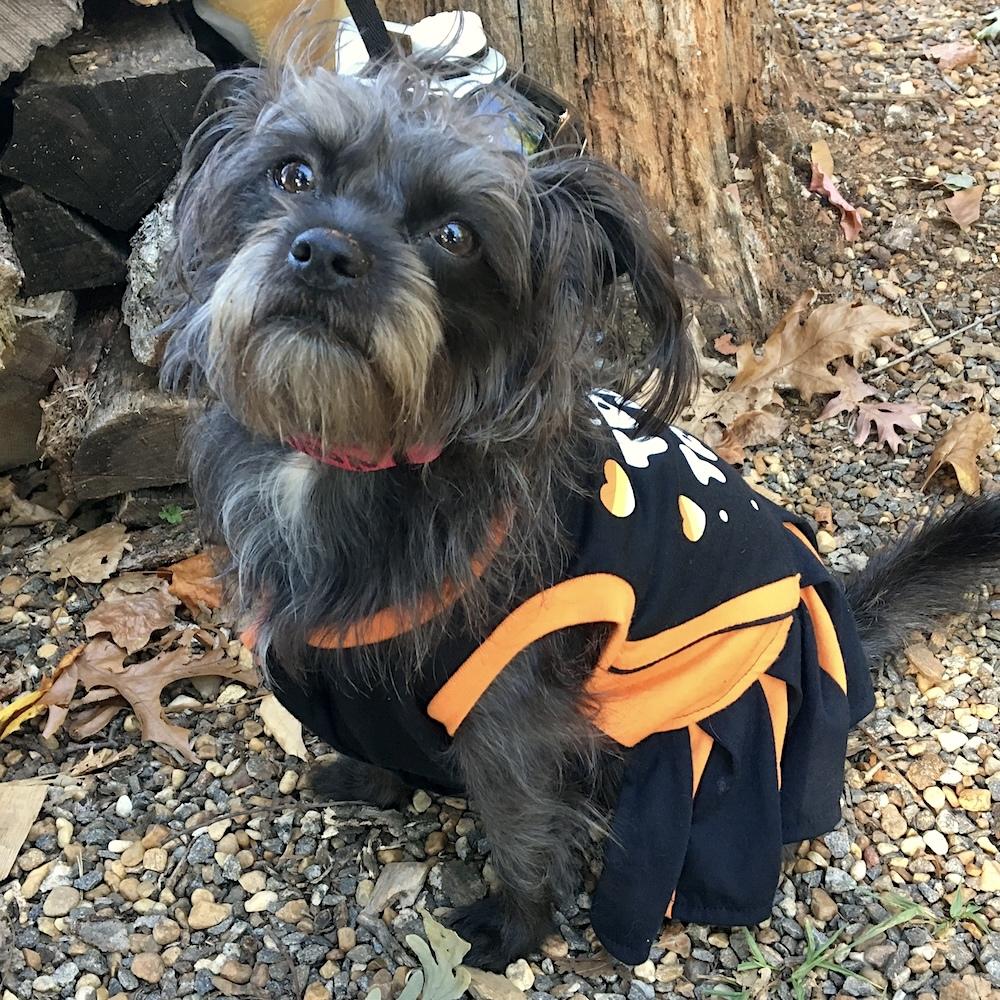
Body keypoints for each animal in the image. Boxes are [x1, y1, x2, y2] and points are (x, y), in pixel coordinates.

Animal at [160, 39, 1000, 968]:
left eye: (455, 235)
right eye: (294, 173)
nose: (324, 250)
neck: (355, 452)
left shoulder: (507, 713)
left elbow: (521, 827)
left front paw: (517, 927)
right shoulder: (354, 667)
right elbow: (377, 735)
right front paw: (375, 780)